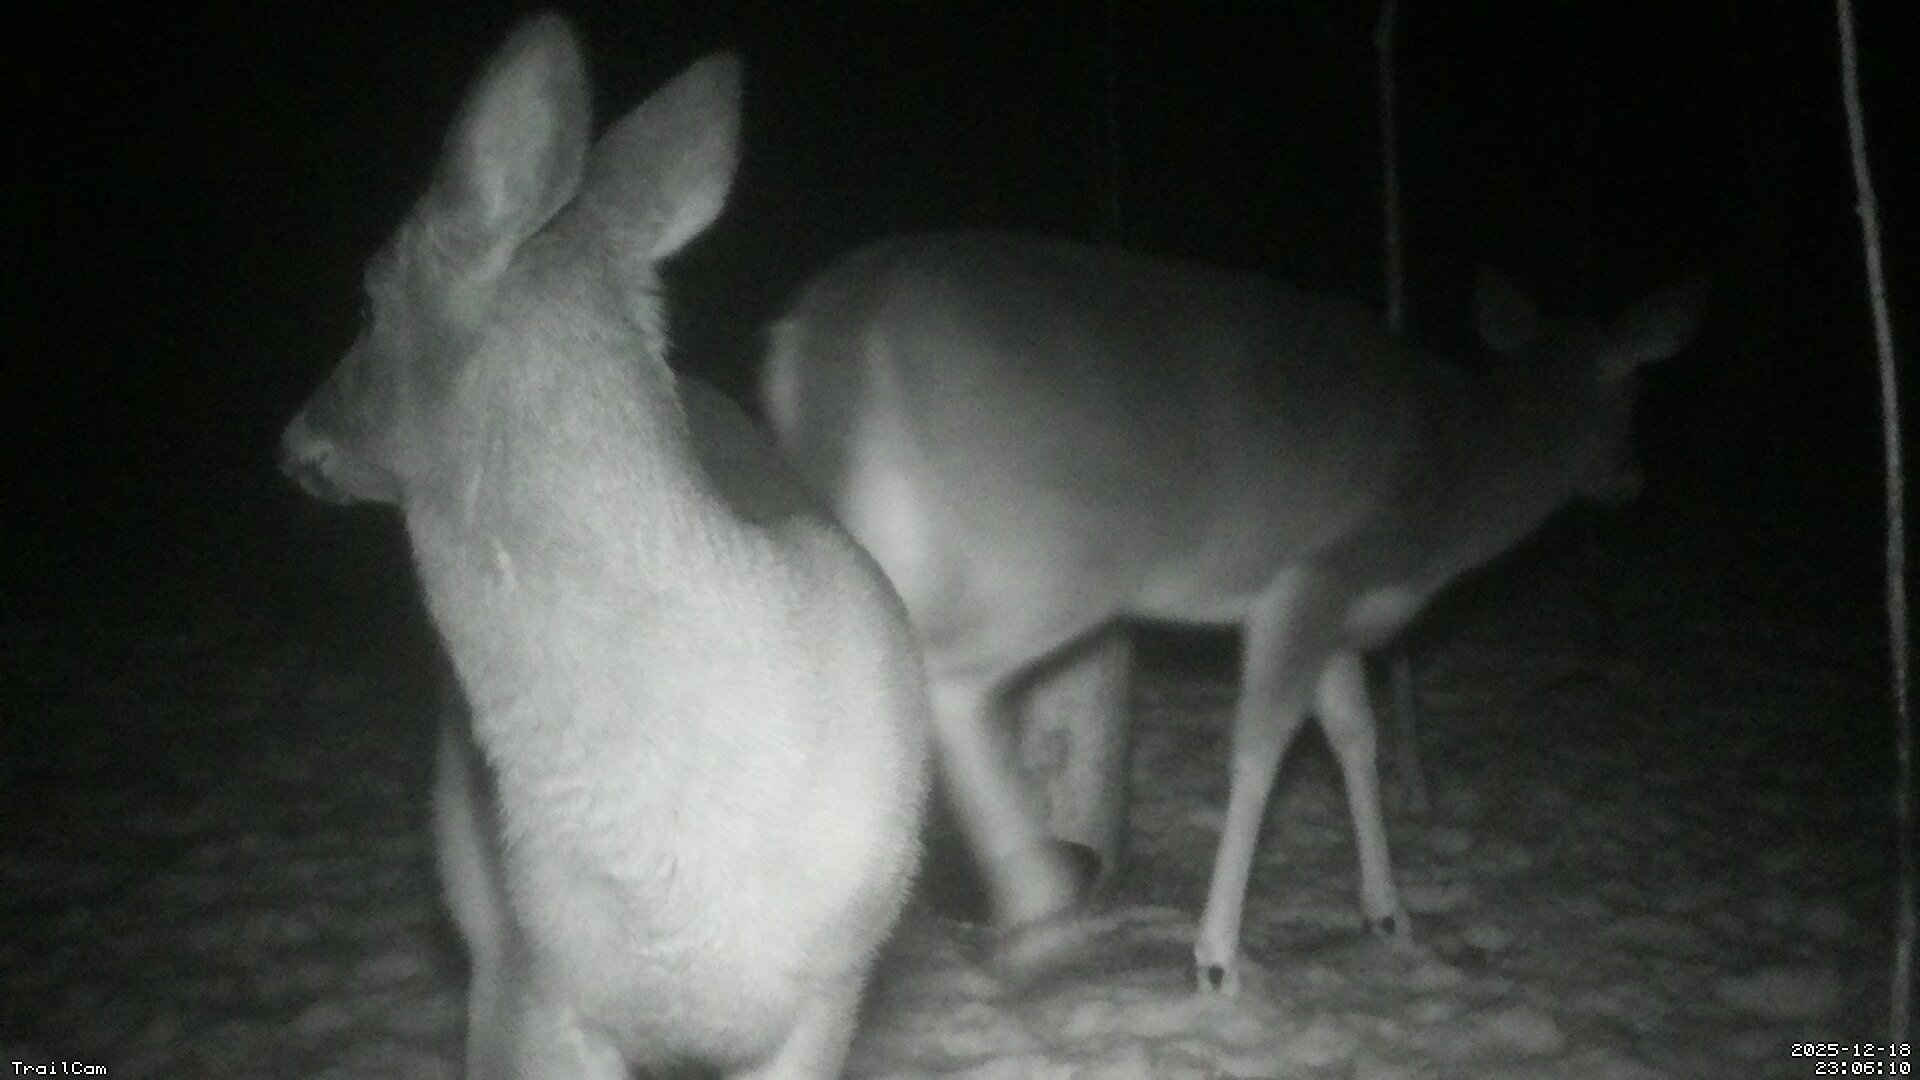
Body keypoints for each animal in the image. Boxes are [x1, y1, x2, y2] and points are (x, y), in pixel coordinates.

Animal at [760, 230, 1706, 995]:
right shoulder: (1315, 572)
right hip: (1051, 550)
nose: (1634, 480)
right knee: (949, 679)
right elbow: (1260, 747)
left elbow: (1356, 736)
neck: (1453, 473)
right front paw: (1217, 958)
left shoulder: (1342, 613)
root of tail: (834, 324)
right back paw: (1036, 908)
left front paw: (1389, 912)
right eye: (1636, 393)